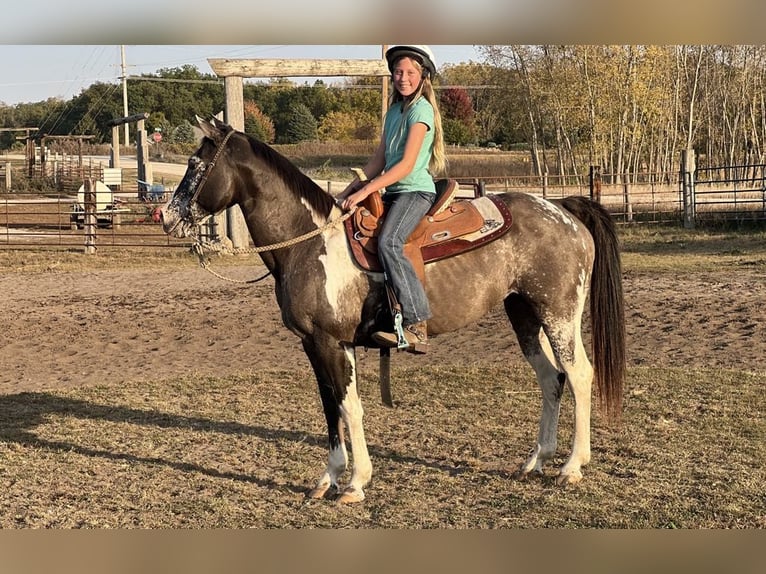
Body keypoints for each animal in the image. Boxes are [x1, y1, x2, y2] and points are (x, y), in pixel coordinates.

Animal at [158, 116, 625, 504]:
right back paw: (536, 460)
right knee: (550, 378)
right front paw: (327, 479)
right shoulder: (314, 345)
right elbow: (330, 408)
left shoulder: (332, 342)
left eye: (196, 163)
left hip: (559, 313)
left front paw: (355, 483)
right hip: (523, 313)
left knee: (579, 375)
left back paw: (571, 467)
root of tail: (563, 210)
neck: (311, 241)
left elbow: (350, 407)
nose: (165, 216)